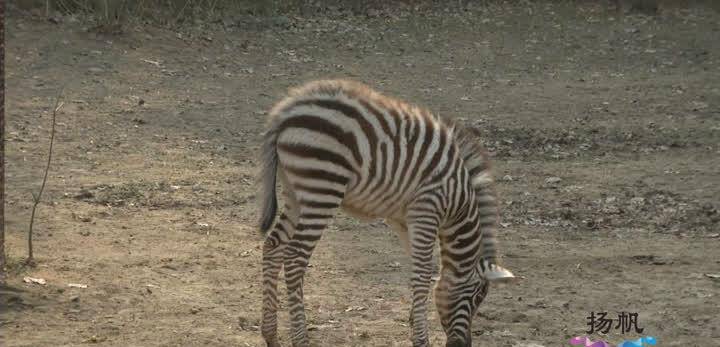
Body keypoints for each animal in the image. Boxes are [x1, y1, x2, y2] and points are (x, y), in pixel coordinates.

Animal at [256, 79, 516, 347]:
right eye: (477, 297)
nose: (463, 345)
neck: (460, 200)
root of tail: (287, 110)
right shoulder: (427, 211)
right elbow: (423, 274)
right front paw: (421, 339)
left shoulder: (404, 219)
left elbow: (422, 270)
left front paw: (413, 322)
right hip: (323, 189)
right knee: (294, 258)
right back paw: (300, 338)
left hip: (295, 194)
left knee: (273, 246)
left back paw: (271, 334)